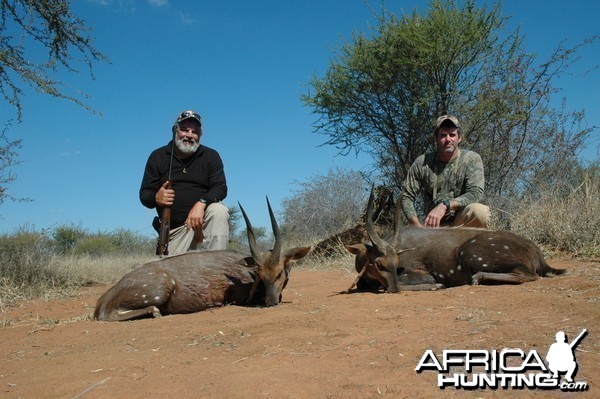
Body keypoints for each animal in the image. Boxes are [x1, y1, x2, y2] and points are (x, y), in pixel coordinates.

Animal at [94, 198, 312, 324]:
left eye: (279, 273)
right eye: (261, 275)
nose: (271, 301)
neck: (247, 275)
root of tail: (102, 300)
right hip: (160, 288)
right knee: (110, 315)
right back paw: (155, 312)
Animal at [344, 191, 564, 294]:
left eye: (396, 263)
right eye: (378, 263)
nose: (394, 288)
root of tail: (536, 251)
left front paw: (437, 285)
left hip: (470, 251)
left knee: (529, 274)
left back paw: (478, 277)